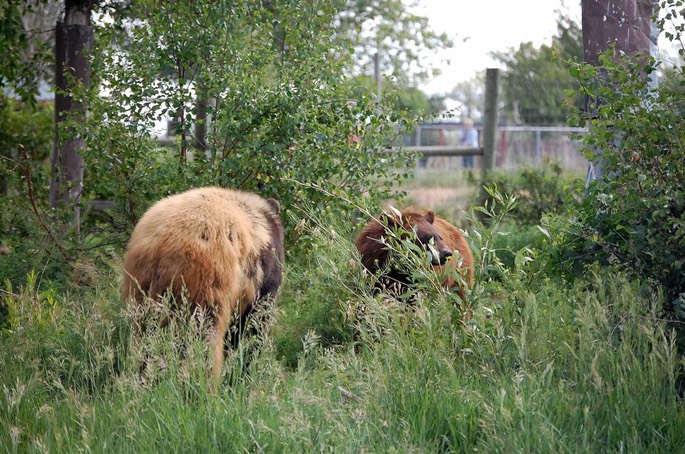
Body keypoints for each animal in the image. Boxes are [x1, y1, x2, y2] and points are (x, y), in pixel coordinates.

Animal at [122, 186, 284, 384]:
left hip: (141, 286)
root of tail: (161, 246)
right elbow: (253, 325)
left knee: (145, 332)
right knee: (203, 335)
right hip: (204, 281)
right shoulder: (261, 281)